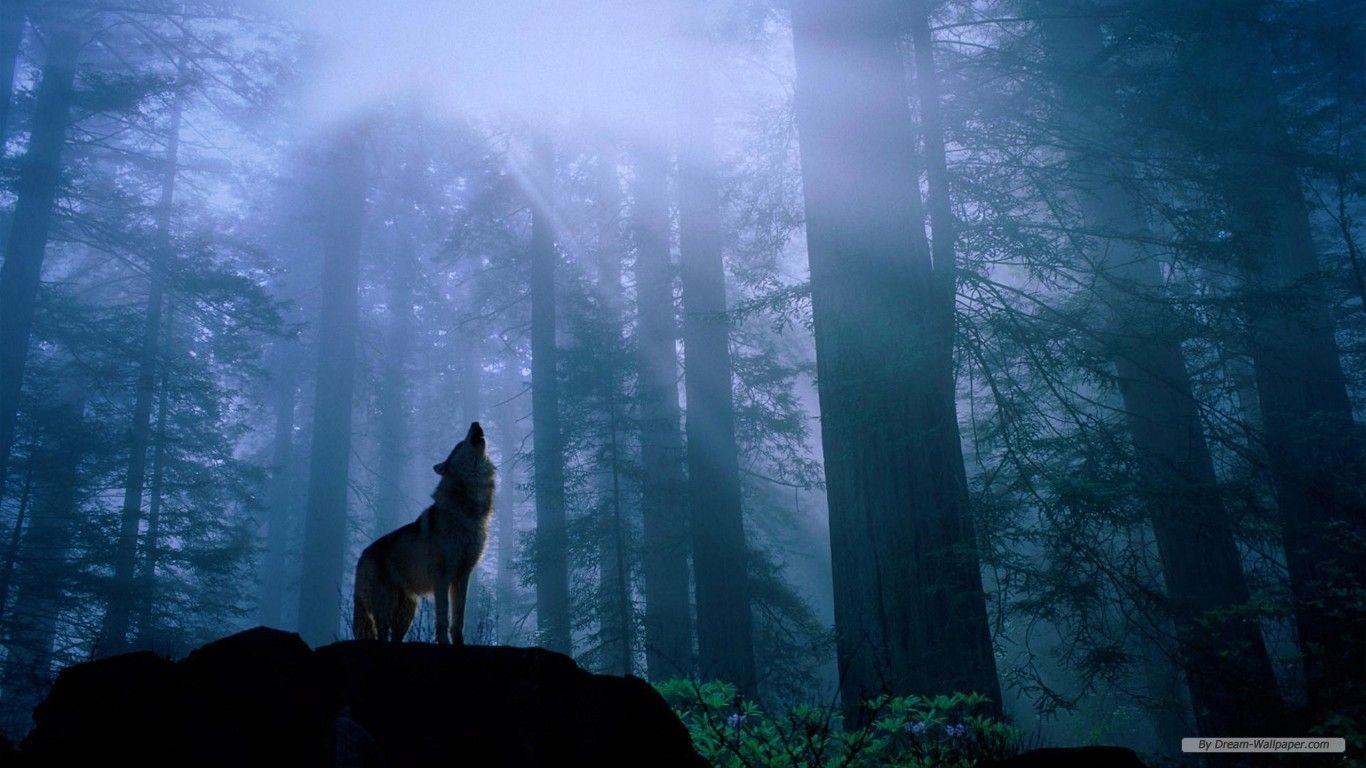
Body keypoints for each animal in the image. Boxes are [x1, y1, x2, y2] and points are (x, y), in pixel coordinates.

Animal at [353, 422, 496, 645]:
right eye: (460, 444)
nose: (475, 423)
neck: (468, 510)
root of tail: (362, 555)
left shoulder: (463, 575)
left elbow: (458, 619)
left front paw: (459, 643)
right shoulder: (442, 577)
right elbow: (443, 617)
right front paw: (444, 642)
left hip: (406, 613)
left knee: (395, 637)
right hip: (385, 609)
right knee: (382, 635)